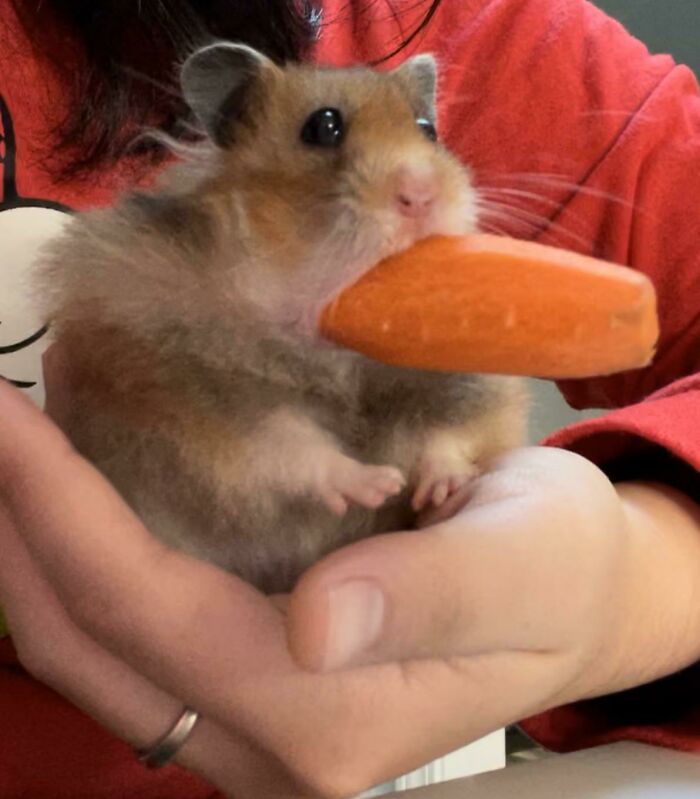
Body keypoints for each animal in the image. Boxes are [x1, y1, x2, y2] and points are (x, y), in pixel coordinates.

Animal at [36, 43, 527, 594]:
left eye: (428, 130)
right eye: (323, 127)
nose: (421, 195)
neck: (331, 348)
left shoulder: (463, 386)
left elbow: (448, 435)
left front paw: (437, 487)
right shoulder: (194, 405)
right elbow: (289, 448)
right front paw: (377, 484)